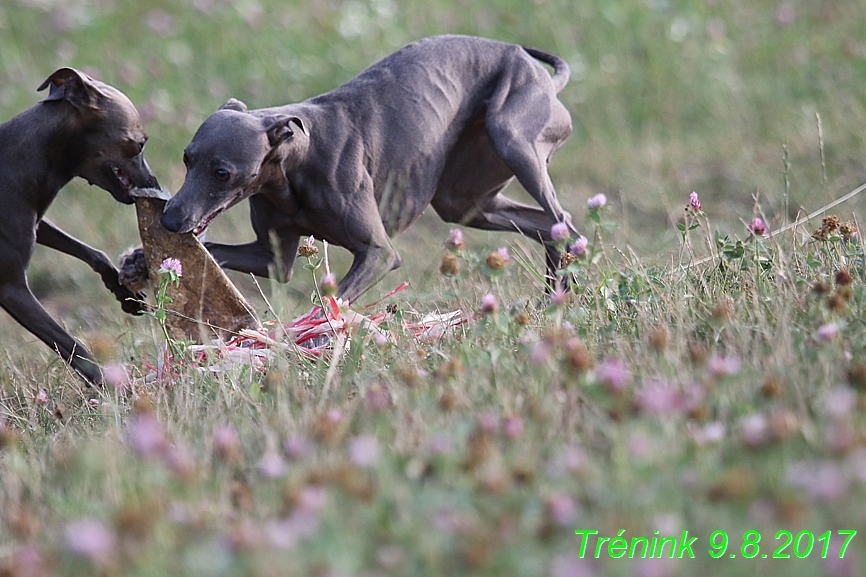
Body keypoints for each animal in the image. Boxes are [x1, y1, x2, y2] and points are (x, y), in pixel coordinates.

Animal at [0, 68, 158, 382]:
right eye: (140, 143)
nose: (154, 185)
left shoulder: (37, 222)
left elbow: (94, 253)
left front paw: (126, 294)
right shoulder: (12, 288)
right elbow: (74, 349)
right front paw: (115, 386)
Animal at [148, 35, 572, 302]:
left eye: (222, 172)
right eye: (187, 159)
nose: (169, 220)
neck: (297, 161)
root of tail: (537, 70)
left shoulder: (378, 254)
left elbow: (330, 306)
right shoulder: (271, 258)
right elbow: (231, 254)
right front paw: (141, 261)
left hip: (512, 139)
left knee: (561, 219)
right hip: (463, 200)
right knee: (545, 226)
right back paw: (552, 297)